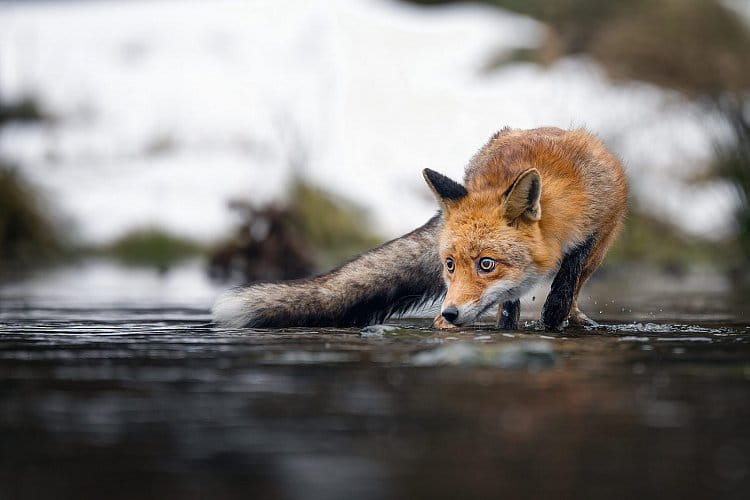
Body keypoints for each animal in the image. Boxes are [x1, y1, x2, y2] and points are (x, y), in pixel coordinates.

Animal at [214, 127, 632, 332]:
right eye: (449, 265)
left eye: (486, 264)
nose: (449, 314)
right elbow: (512, 303)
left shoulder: (601, 226)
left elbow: (566, 284)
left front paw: (554, 318)